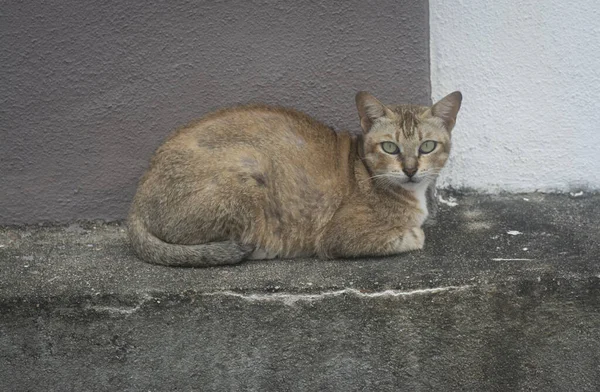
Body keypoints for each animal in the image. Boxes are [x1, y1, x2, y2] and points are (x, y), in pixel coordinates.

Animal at [129, 91, 462, 266]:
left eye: (427, 146)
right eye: (390, 147)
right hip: (249, 168)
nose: (410, 169)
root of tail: (136, 202)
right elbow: (410, 236)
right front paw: (415, 233)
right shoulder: (339, 236)